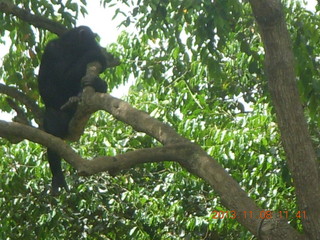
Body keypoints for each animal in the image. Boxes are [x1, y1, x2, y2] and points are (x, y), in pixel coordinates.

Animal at [37, 26, 107, 195]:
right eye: (91, 40)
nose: (97, 45)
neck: (70, 47)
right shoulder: (53, 51)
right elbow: (63, 76)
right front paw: (95, 54)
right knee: (53, 133)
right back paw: (58, 176)